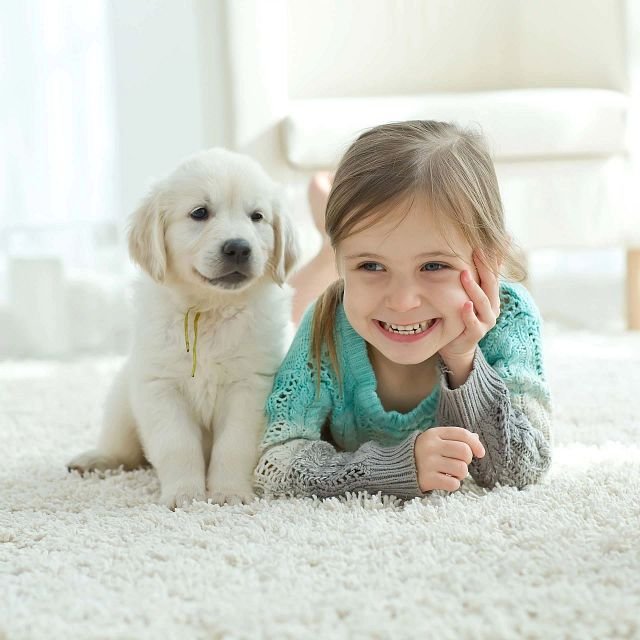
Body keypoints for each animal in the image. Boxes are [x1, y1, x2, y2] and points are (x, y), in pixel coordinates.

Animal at [69, 148, 298, 508]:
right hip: (121, 402)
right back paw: (94, 459)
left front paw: (229, 492)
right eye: (199, 213)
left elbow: (234, 446)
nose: (238, 247)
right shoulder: (160, 387)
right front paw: (184, 495)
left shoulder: (251, 386)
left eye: (257, 217)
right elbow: (177, 446)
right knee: (123, 450)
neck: (209, 308)